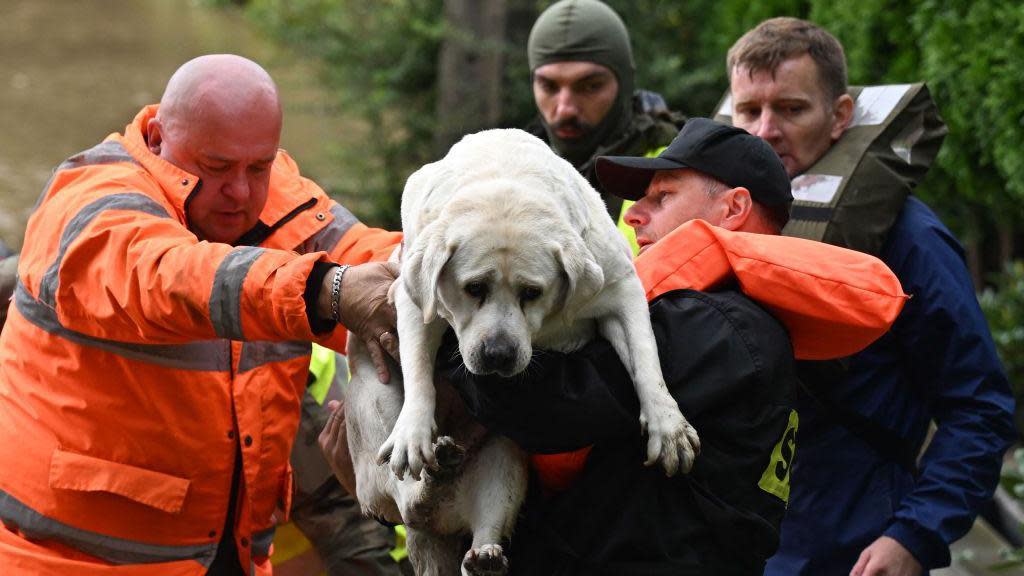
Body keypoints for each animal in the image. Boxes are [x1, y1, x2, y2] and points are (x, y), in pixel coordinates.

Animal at [348, 127, 700, 569]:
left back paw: (481, 552)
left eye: (532, 292)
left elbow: (646, 359)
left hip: (506, 459)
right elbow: (416, 371)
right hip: (371, 409)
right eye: (474, 288)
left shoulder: (620, 289)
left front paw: (668, 426)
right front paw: (413, 430)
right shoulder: (412, 298)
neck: (505, 182)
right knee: (407, 498)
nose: (498, 355)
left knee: (478, 518)